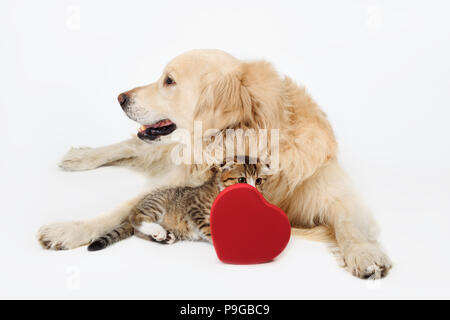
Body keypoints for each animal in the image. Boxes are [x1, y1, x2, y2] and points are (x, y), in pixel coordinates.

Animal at [88, 159, 270, 251]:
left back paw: (165, 236)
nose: (254, 190)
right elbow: (210, 229)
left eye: (259, 181)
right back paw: (158, 230)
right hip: (157, 204)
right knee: (136, 218)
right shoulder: (195, 208)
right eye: (241, 180)